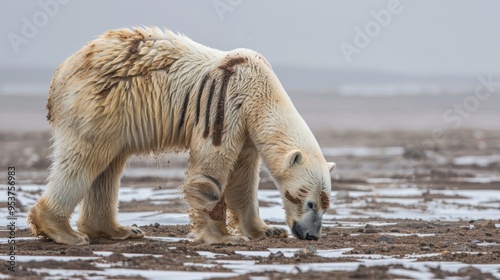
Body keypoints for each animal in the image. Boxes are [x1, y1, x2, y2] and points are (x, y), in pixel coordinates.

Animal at [29, 26, 338, 245]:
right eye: (308, 201)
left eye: (326, 204)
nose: (311, 235)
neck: (259, 91)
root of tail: (61, 73)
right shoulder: (224, 107)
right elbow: (211, 170)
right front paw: (223, 237)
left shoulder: (247, 130)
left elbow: (243, 179)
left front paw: (267, 231)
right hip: (101, 103)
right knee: (84, 159)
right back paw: (64, 232)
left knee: (108, 166)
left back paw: (120, 230)